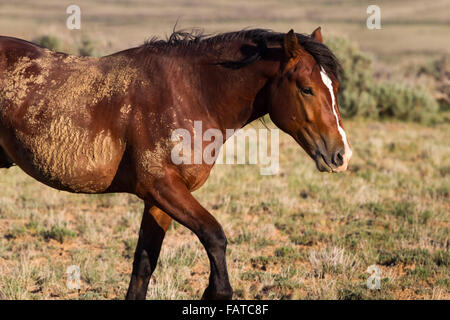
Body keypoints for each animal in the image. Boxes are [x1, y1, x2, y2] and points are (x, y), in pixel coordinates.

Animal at [0, 27, 352, 300]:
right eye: (306, 88)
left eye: (334, 86)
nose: (341, 154)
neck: (189, 94)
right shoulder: (162, 187)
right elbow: (214, 236)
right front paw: (215, 291)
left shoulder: (159, 201)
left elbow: (144, 265)